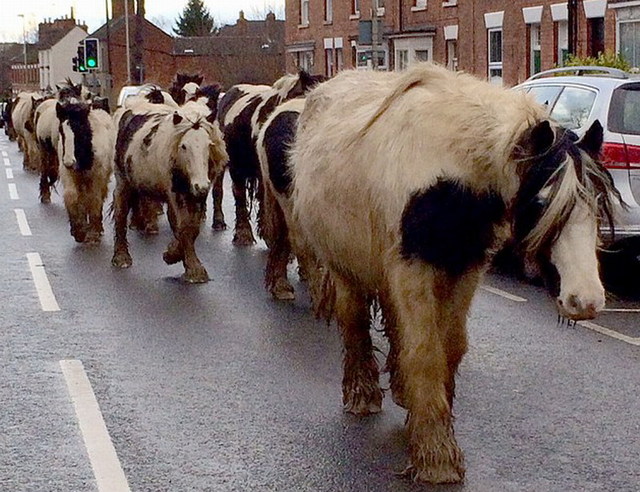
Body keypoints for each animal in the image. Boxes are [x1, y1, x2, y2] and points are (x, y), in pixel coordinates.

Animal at [55, 101, 114, 243]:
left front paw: (94, 231)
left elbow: (94, 199)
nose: (69, 162)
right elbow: (71, 196)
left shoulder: (97, 176)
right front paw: (78, 230)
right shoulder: (68, 174)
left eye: (80, 129)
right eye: (61, 130)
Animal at [111, 105, 229, 282]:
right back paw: (121, 257)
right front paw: (188, 265)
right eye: (184, 146)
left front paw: (181, 258)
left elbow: (192, 228)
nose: (201, 185)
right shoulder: (174, 195)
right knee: (120, 214)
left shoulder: (197, 197)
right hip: (123, 183)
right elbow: (183, 227)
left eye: (209, 145)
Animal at [290, 62, 620, 484]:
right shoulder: (412, 269)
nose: (586, 300)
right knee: (355, 323)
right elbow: (425, 351)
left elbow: (450, 347)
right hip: (345, 267)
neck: (453, 169)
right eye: (541, 202)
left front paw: (430, 427)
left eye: (597, 202)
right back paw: (362, 394)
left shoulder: (464, 269)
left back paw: (401, 390)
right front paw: (436, 458)